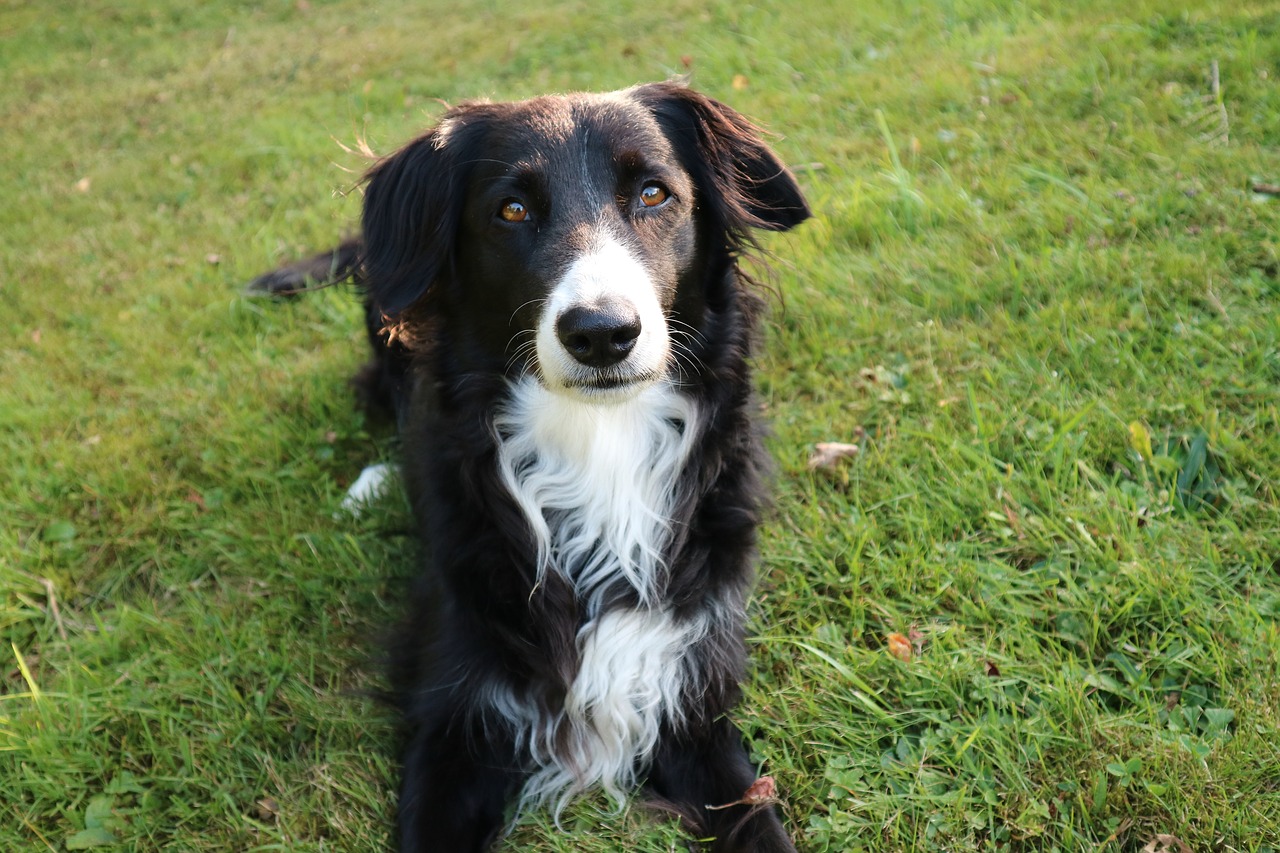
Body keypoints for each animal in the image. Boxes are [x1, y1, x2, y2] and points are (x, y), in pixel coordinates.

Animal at [250, 81, 808, 850]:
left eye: (654, 194)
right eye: (510, 210)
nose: (602, 333)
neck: (597, 441)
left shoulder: (688, 688)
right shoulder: (455, 714)